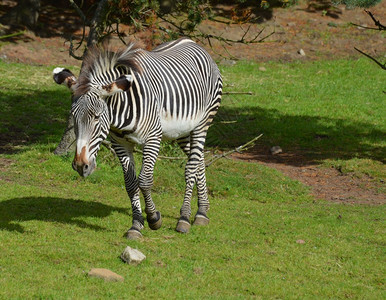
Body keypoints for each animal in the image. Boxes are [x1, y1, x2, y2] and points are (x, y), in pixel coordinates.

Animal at [54, 38, 223, 239]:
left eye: (96, 117)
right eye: (73, 116)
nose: (81, 166)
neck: (121, 109)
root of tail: (193, 43)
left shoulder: (153, 138)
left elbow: (144, 180)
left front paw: (153, 218)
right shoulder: (120, 143)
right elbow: (130, 183)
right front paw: (136, 225)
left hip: (202, 123)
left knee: (190, 167)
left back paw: (184, 218)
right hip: (181, 132)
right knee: (199, 161)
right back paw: (202, 212)